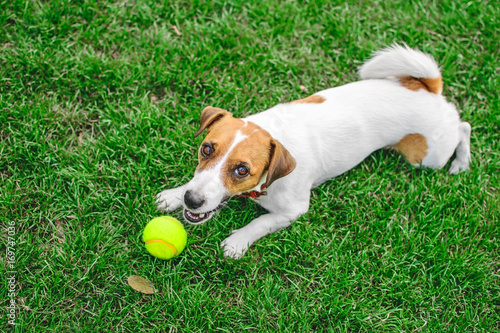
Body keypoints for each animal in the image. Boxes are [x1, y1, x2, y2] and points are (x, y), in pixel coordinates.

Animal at [156, 44, 472, 258]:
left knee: (463, 127)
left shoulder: (293, 211)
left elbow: (261, 221)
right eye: (207, 148)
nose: (192, 200)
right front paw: (174, 195)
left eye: (242, 170)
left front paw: (238, 241)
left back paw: (461, 163)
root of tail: (428, 88)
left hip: (427, 157)